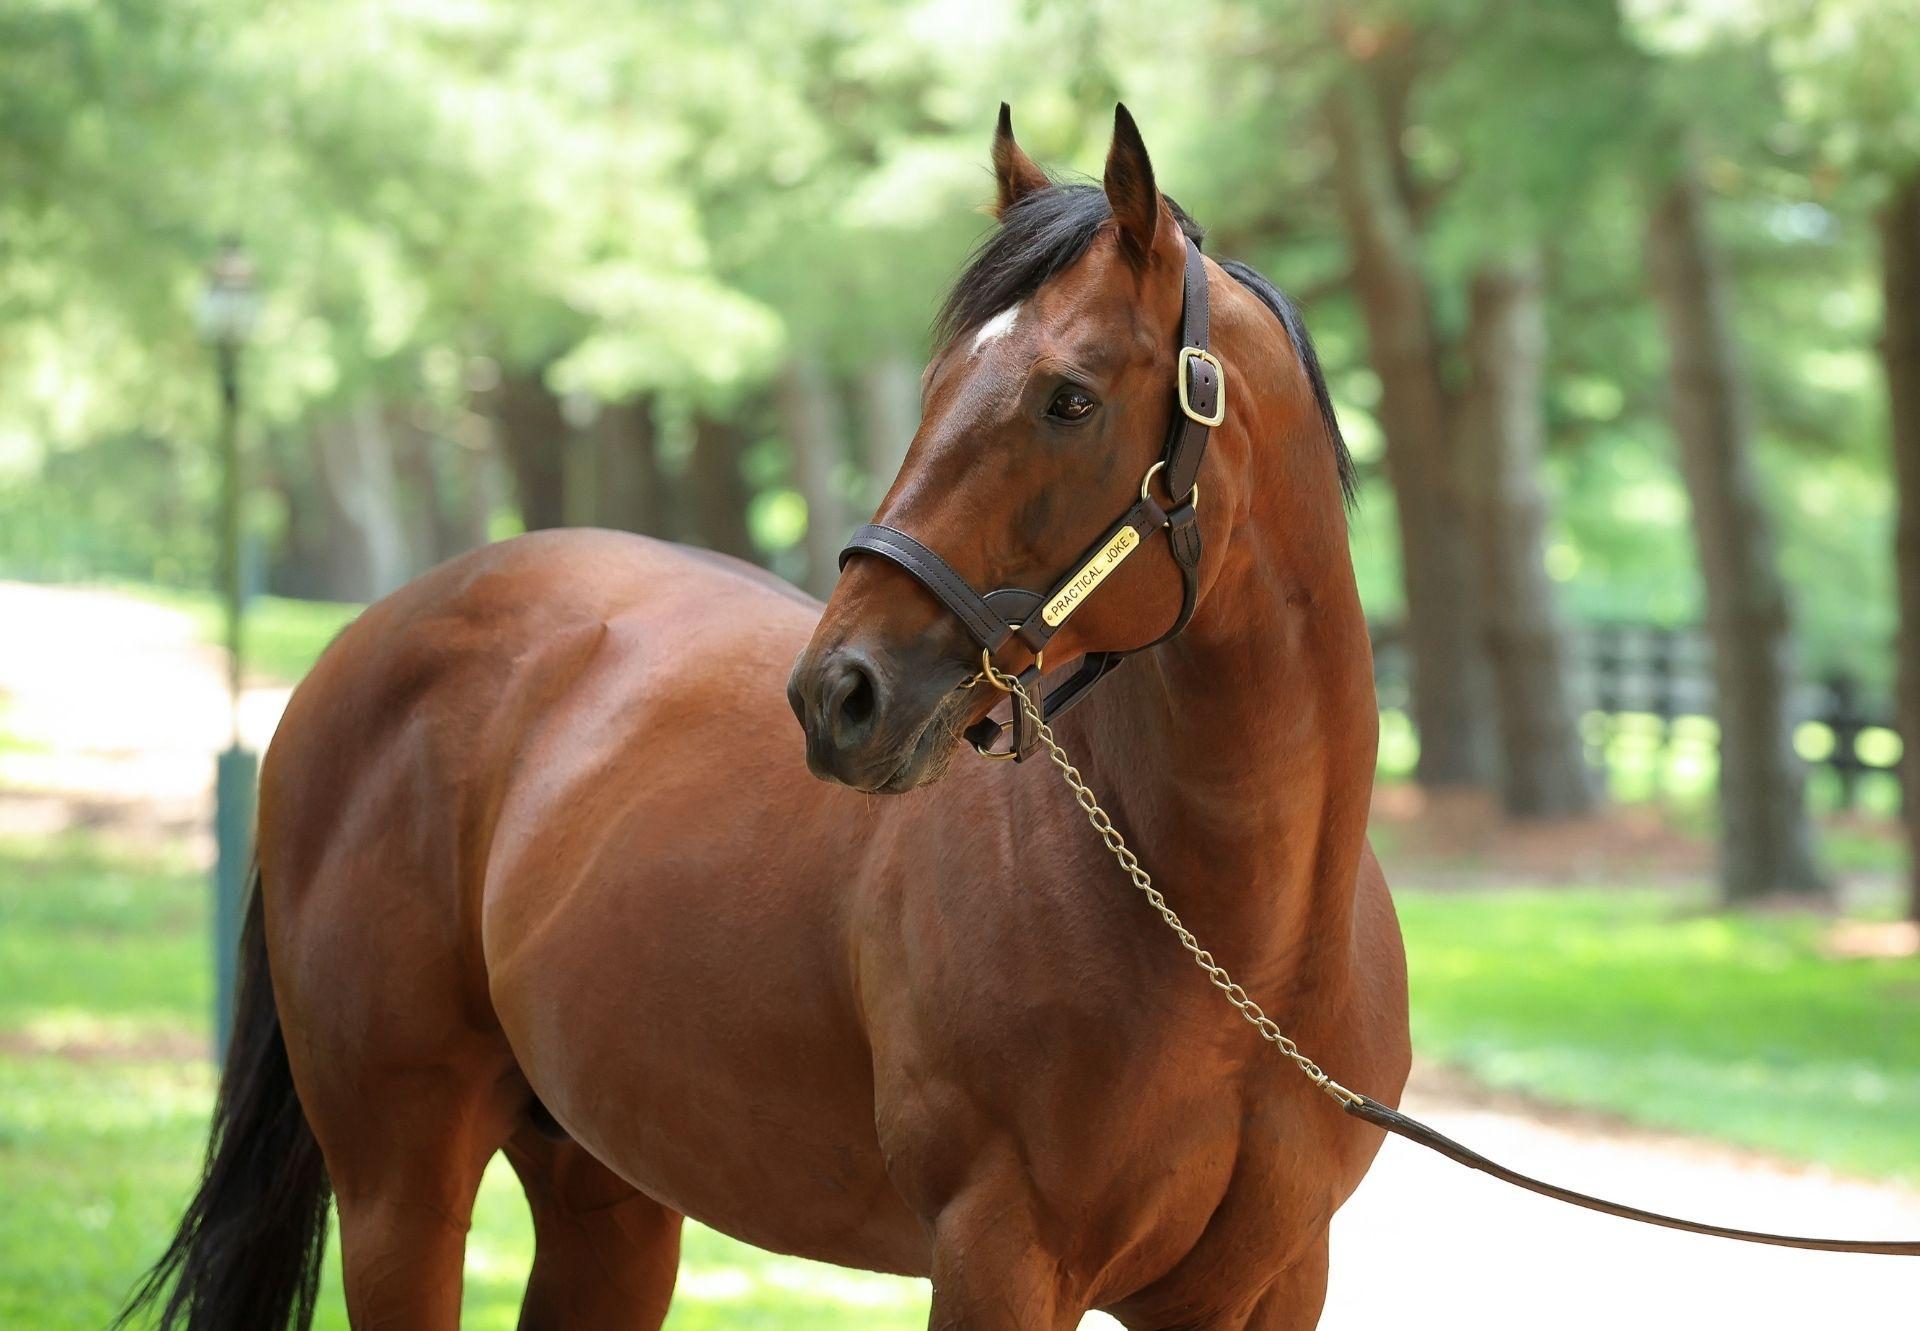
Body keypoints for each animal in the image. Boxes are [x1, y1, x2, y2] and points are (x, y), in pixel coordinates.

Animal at [123, 106, 1413, 1329]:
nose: (839, 694)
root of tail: (367, 643)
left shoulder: (1267, 1285)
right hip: (399, 1187)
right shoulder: (998, 1256)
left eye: (1069, 397)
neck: (1235, 947)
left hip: (607, 1191)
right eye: (936, 388)